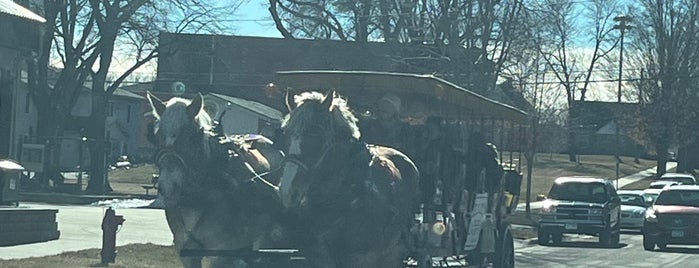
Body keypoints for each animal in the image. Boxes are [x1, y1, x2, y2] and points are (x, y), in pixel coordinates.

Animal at [148, 92, 288, 268]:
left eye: (191, 137)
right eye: (157, 136)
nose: (167, 186)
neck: (196, 200)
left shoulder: (221, 252)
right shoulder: (187, 251)